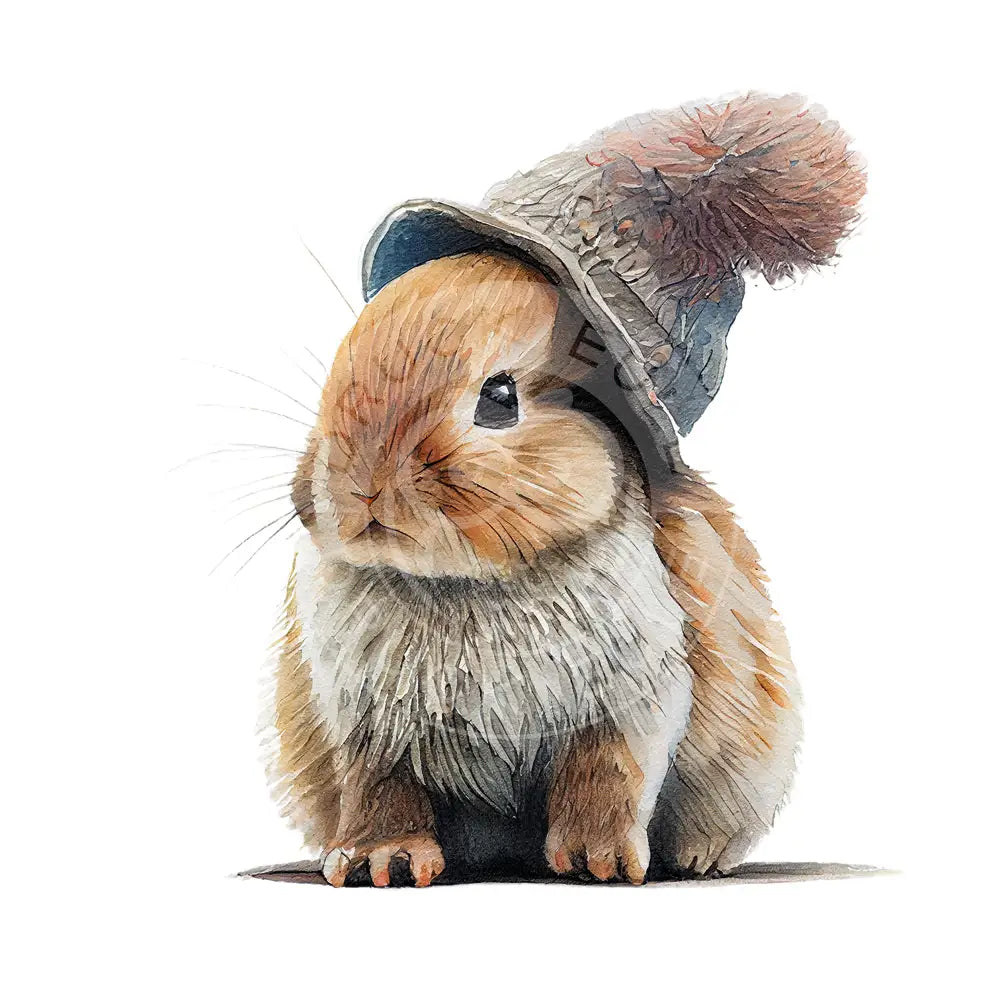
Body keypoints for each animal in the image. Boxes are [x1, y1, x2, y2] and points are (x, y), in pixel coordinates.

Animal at [263, 94, 864, 885]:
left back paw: (697, 858)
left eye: (499, 398)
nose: (361, 492)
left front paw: (595, 861)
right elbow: (382, 792)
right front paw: (375, 863)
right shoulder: (366, 726)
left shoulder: (629, 703)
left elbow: (605, 776)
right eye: (343, 361)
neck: (464, 586)